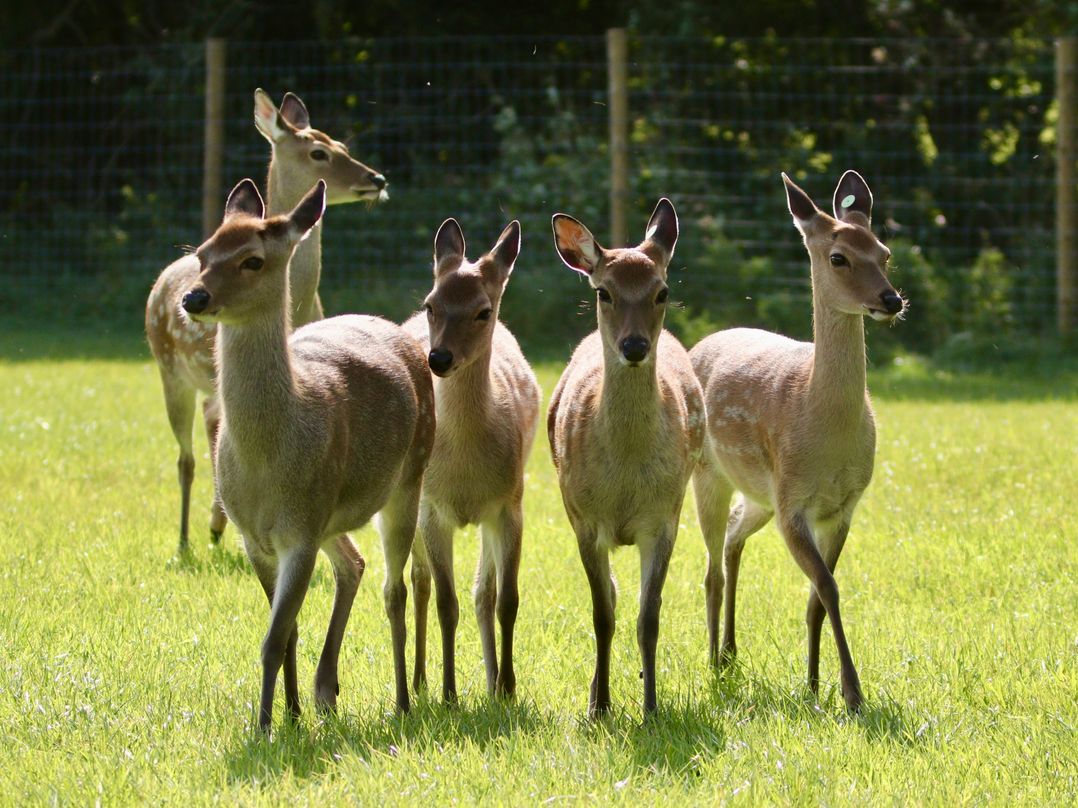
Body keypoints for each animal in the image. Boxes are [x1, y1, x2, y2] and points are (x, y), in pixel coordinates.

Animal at [146, 88, 387, 552]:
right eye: (318, 152)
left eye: (342, 145)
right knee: (186, 456)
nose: (377, 179)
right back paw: (186, 540)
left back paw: (215, 525)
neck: (298, 307)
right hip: (169, 369)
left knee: (208, 423)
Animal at [179, 178, 433, 731]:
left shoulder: (300, 530)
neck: (266, 464)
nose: (193, 296)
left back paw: (403, 701)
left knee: (396, 588)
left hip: (407, 478)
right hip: (331, 516)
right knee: (353, 564)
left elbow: (273, 638)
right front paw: (291, 715)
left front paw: (264, 726)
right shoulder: (256, 535)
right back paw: (325, 690)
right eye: (203, 253)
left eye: (252, 260)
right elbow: (287, 628)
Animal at [402, 218, 541, 703]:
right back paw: (419, 681)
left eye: (483, 311)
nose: (439, 357)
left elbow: (506, 598)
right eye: (431, 304)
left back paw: (490, 678)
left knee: (483, 591)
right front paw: (448, 693)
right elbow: (446, 600)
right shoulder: (431, 507)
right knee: (420, 581)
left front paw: (508, 688)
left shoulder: (510, 503)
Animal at [547, 199, 706, 718]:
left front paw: (651, 707)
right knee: (611, 597)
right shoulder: (583, 518)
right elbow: (602, 614)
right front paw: (599, 707)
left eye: (662, 291)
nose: (634, 346)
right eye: (604, 292)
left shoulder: (665, 517)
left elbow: (648, 616)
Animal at [690, 170, 906, 714]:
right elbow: (828, 587)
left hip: (760, 495)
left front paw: (812, 684)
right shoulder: (794, 503)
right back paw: (713, 660)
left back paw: (731, 652)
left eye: (884, 251)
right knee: (711, 569)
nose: (891, 300)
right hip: (709, 474)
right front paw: (851, 692)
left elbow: (815, 598)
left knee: (733, 538)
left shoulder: (843, 506)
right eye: (838, 257)